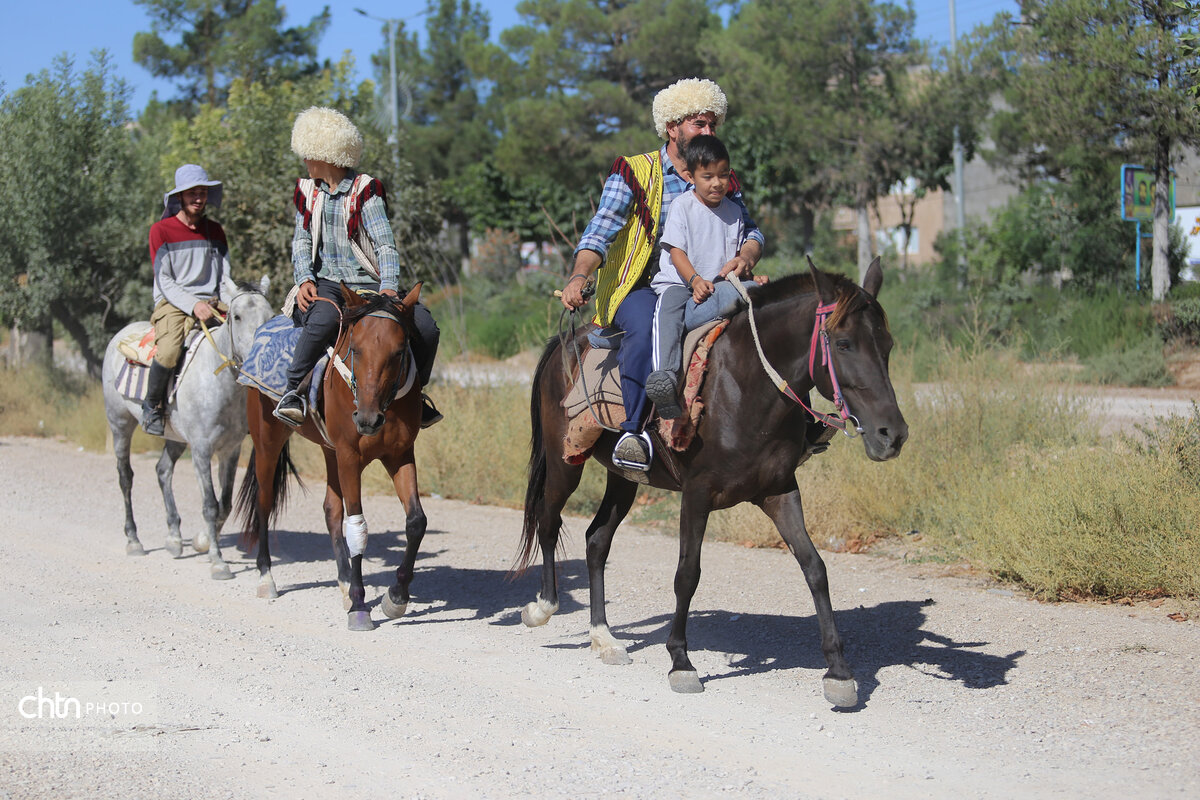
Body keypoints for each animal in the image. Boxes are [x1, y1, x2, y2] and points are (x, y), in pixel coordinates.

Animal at [103, 280, 274, 575]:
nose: (258, 361)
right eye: (237, 316)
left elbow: (224, 505)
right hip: (120, 424)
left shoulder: (230, 450)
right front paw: (217, 561)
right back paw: (134, 539)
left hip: (175, 438)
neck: (218, 383)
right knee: (125, 477)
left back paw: (173, 538)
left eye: (271, 316)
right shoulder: (202, 450)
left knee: (162, 470)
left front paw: (203, 542)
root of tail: (120, 335)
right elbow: (209, 505)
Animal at [234, 284, 427, 628]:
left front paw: (396, 597)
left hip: (329, 450)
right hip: (267, 440)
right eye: (356, 349)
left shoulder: (400, 454)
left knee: (330, 510)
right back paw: (266, 577)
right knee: (264, 503)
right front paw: (360, 606)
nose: (367, 420)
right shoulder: (350, 457)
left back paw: (344, 582)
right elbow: (358, 527)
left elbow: (416, 521)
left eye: (399, 352)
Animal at [516, 257, 907, 705]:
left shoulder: (779, 491)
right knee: (549, 521)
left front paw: (839, 671)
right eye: (843, 344)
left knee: (596, 541)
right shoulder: (697, 495)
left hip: (624, 477)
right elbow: (687, 574)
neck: (745, 385)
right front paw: (680, 662)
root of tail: (567, 340)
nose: (892, 435)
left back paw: (605, 638)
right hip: (565, 463)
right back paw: (543, 607)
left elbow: (815, 568)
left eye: (887, 345)